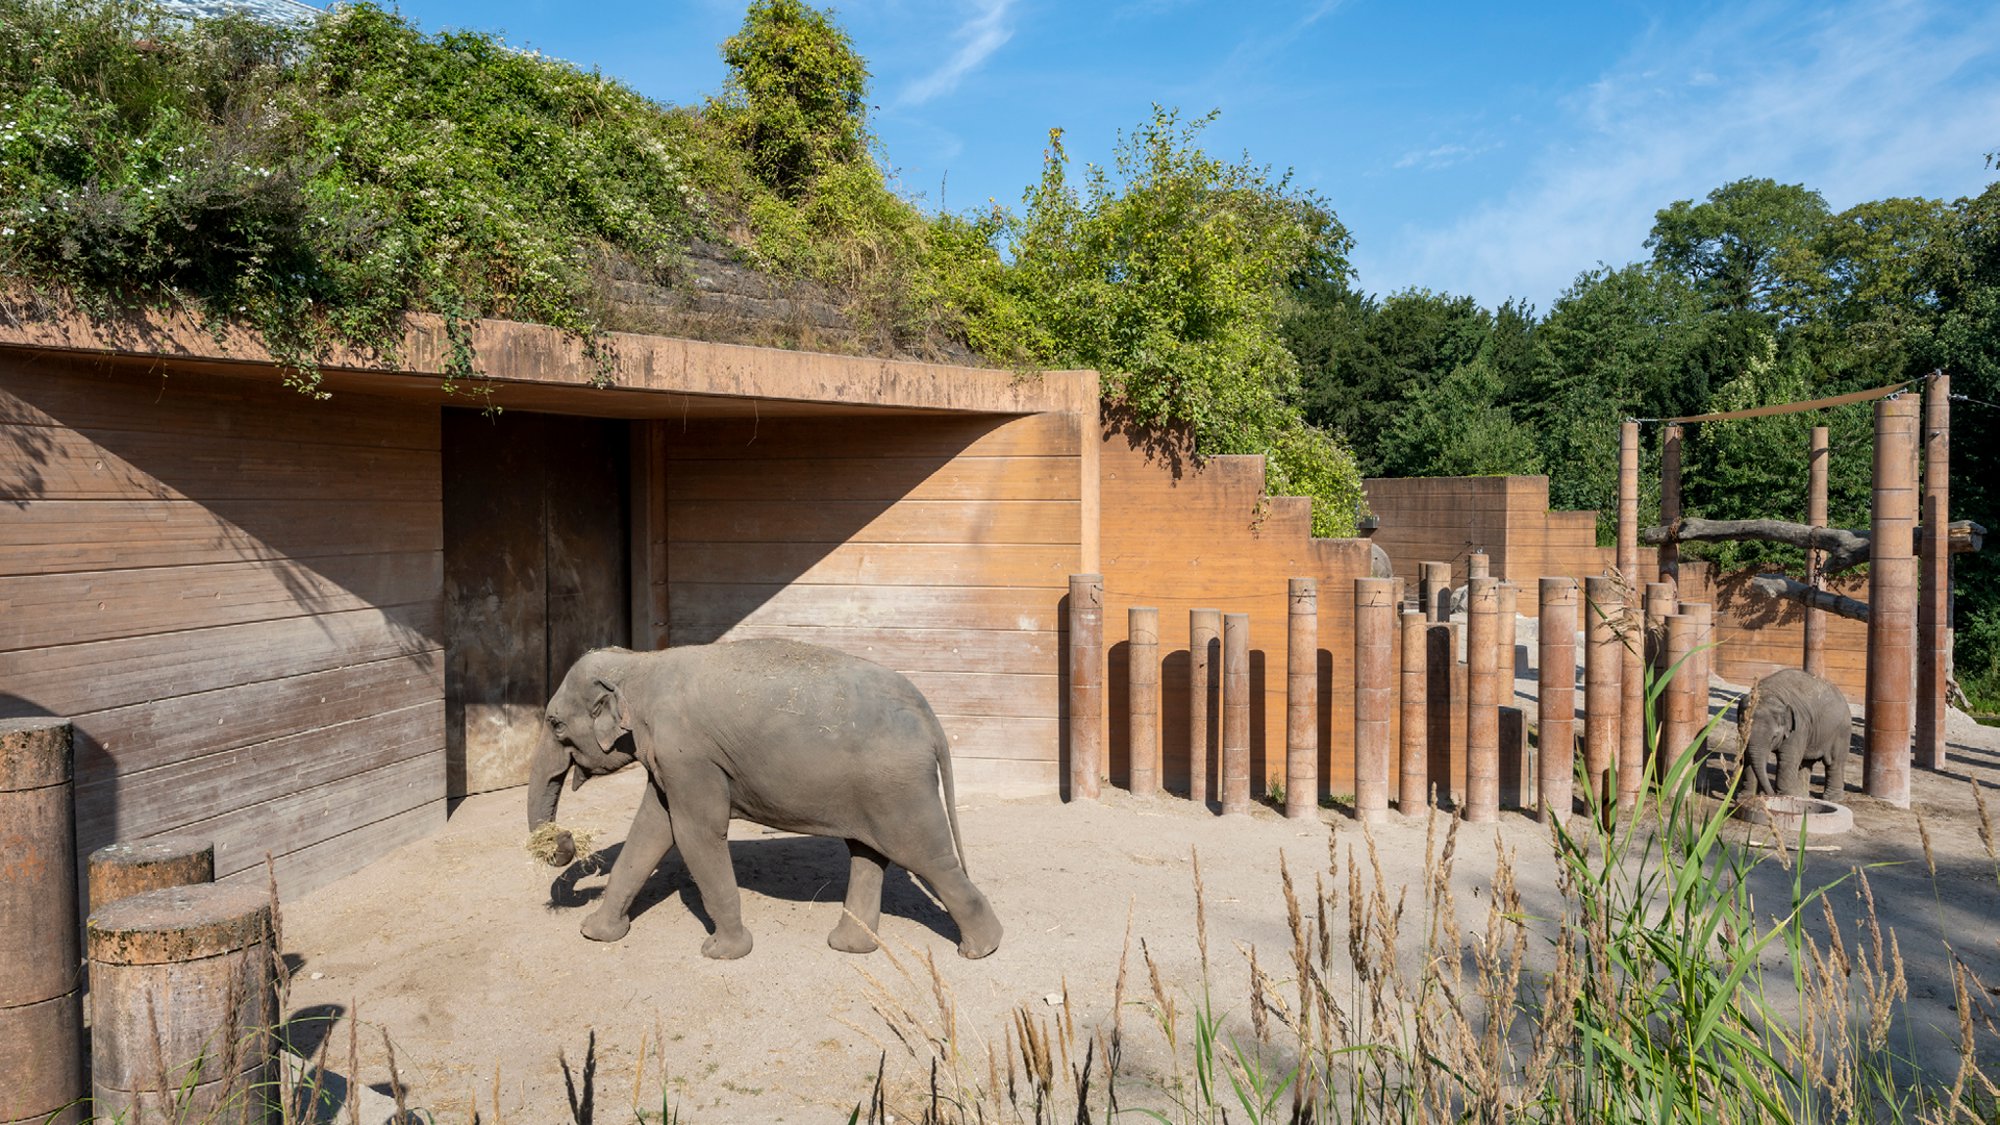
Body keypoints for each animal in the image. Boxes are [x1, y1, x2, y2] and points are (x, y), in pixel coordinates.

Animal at [527, 639, 1003, 962]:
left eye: (554, 723)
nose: (562, 840)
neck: (639, 663)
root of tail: (929, 715)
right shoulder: (672, 762)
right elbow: (651, 830)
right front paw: (595, 934)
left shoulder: (689, 756)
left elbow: (696, 834)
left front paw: (721, 952)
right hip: (874, 790)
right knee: (869, 854)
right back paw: (849, 946)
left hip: (897, 786)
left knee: (926, 857)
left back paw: (982, 949)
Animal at [1734, 668, 1852, 800]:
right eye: (1741, 731)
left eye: (1774, 737)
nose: (1769, 794)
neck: (1769, 693)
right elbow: (1747, 757)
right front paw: (1744, 798)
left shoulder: (1798, 727)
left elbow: (1788, 758)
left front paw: (1785, 796)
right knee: (1806, 762)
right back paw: (1801, 795)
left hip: (1841, 732)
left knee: (1834, 762)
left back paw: (1832, 798)